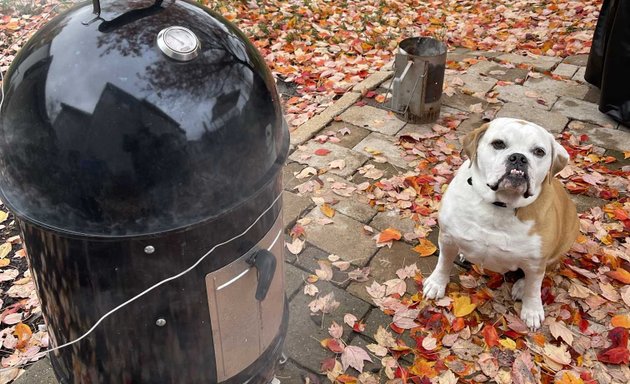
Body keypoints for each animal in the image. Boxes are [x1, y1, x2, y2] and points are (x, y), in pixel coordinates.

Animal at [424, 116, 584, 328]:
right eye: (498, 144)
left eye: (539, 152)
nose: (519, 158)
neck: (500, 205)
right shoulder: (448, 238)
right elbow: (443, 263)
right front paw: (436, 283)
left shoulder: (536, 261)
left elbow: (534, 288)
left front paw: (532, 310)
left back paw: (521, 286)